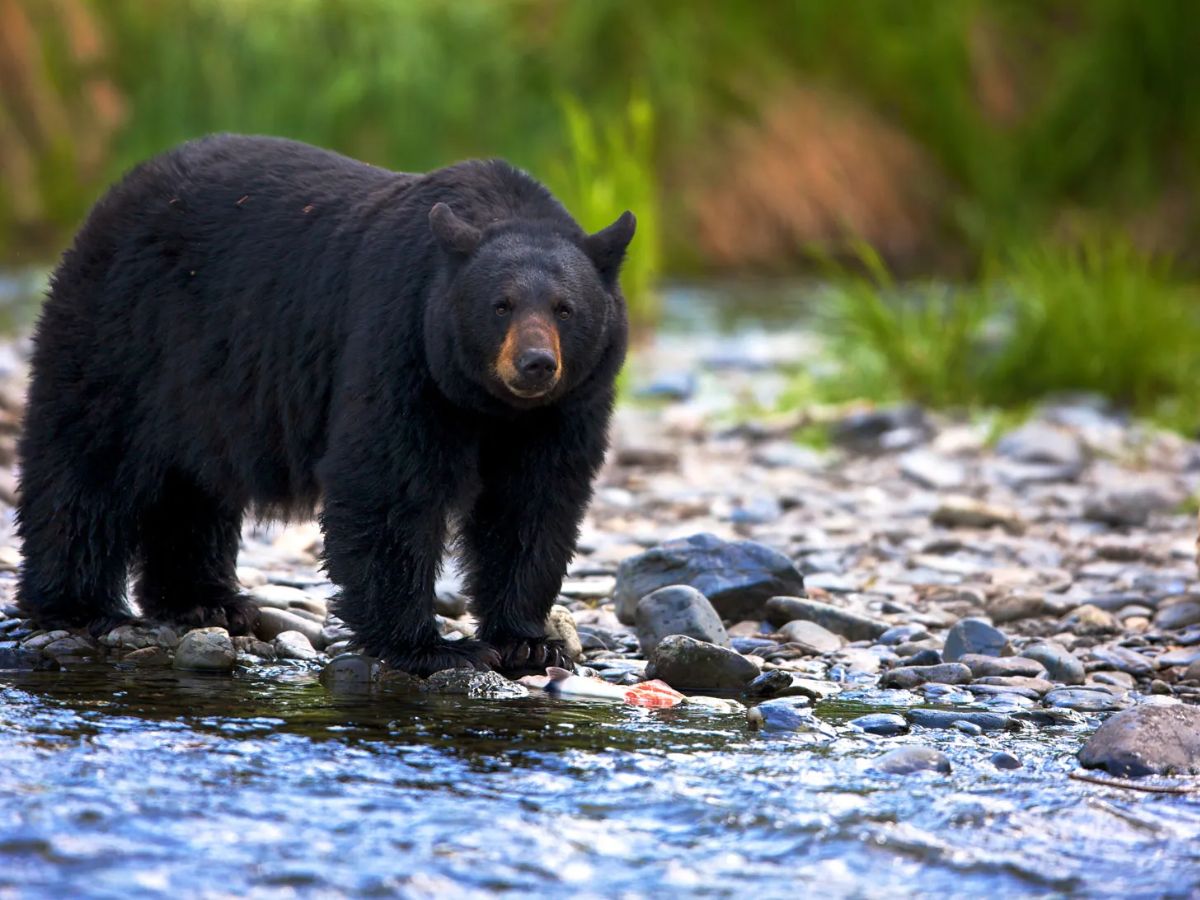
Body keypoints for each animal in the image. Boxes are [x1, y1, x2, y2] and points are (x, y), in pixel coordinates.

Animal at [15, 133, 634, 676]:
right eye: (500, 305)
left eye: (565, 309)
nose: (535, 364)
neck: (489, 403)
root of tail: (119, 192)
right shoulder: (400, 342)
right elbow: (390, 484)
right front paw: (431, 647)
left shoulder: (564, 407)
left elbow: (533, 503)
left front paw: (528, 642)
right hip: (125, 331)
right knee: (88, 462)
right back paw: (77, 605)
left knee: (192, 486)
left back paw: (207, 601)